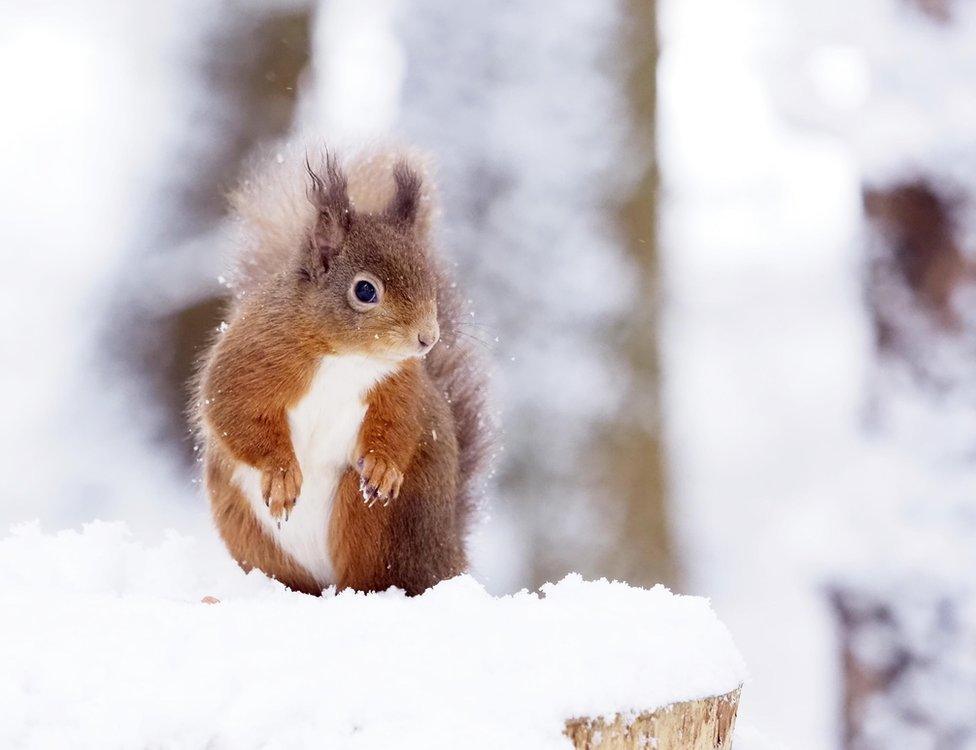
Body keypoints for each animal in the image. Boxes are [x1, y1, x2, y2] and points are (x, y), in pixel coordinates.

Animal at [193, 145, 488, 592]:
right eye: (365, 290)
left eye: (429, 279)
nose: (428, 338)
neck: (347, 358)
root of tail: (449, 558)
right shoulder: (248, 360)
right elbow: (233, 411)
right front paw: (281, 474)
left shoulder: (401, 384)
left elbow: (402, 423)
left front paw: (384, 466)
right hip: (249, 529)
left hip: (376, 515)